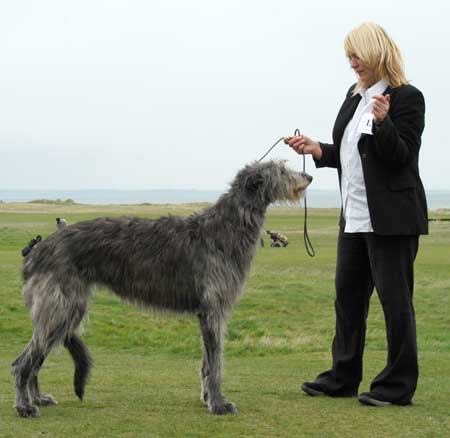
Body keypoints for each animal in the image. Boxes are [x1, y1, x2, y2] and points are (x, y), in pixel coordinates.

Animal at [11, 160, 312, 418]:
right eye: (281, 170)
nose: (308, 177)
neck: (226, 228)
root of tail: (37, 251)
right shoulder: (214, 309)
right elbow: (216, 363)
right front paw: (218, 404)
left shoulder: (206, 313)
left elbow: (207, 362)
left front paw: (207, 397)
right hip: (60, 308)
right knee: (22, 363)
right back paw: (25, 406)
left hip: (65, 311)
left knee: (35, 358)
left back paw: (38, 398)